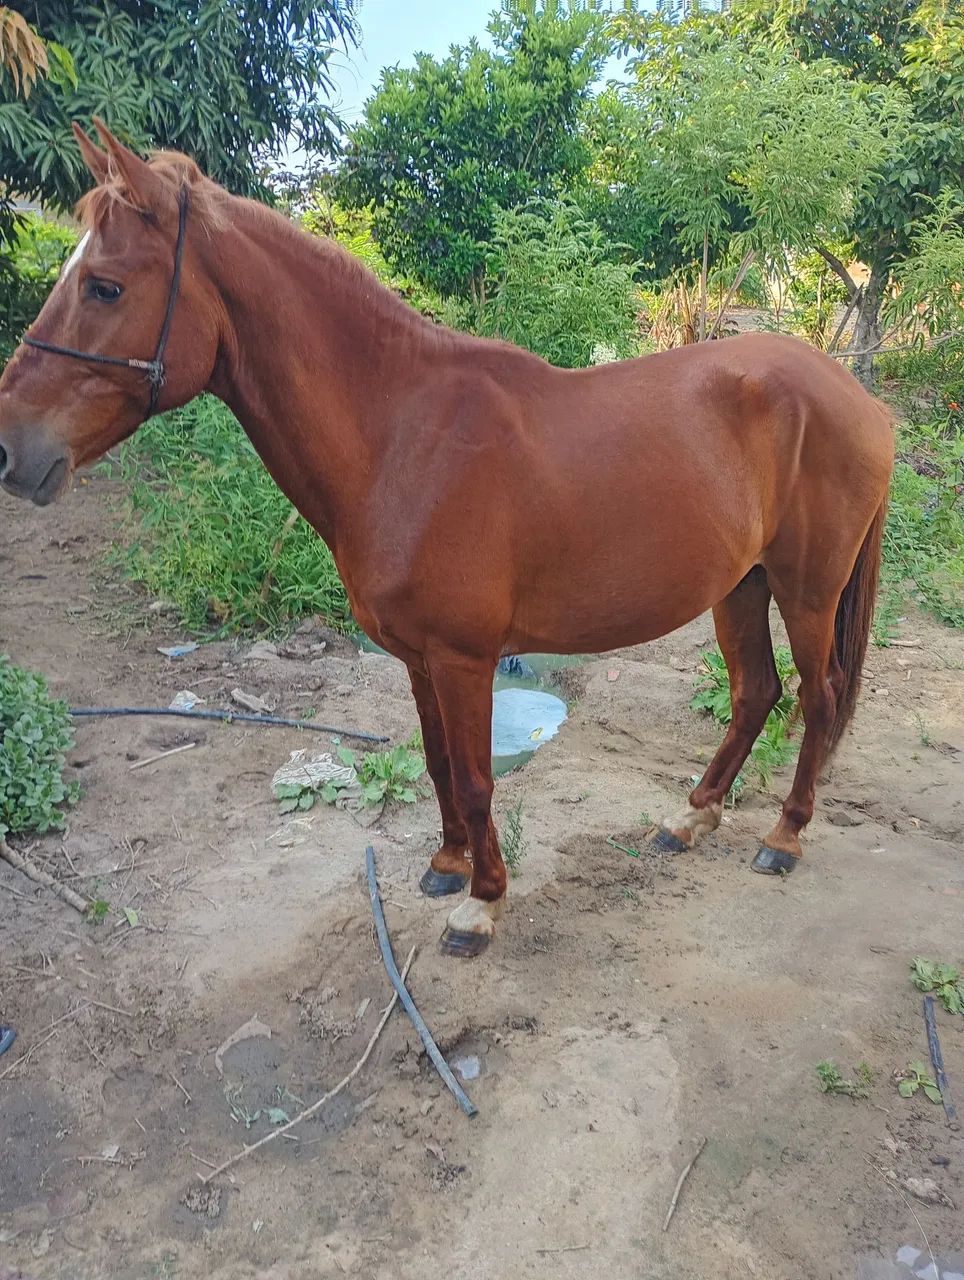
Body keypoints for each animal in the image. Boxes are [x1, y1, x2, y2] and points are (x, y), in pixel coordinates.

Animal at [0, 122, 894, 957]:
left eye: (105, 286)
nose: (12, 450)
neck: (402, 435)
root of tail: (860, 399)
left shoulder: (465, 657)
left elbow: (471, 777)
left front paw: (482, 903)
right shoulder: (417, 656)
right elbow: (434, 764)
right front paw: (448, 866)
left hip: (806, 590)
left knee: (816, 697)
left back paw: (784, 836)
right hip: (739, 584)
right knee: (756, 694)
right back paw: (692, 818)